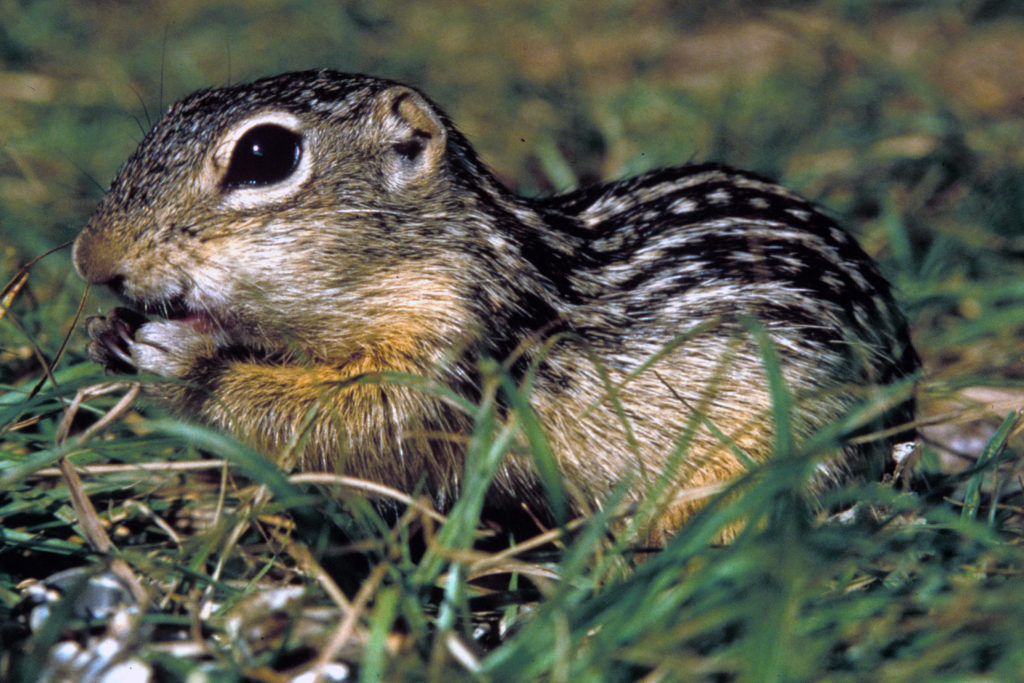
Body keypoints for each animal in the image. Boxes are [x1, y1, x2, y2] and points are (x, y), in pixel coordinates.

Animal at [72, 68, 921, 540]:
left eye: (264, 154)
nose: (90, 260)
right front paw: (110, 333)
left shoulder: (448, 356)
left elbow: (347, 425)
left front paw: (181, 355)